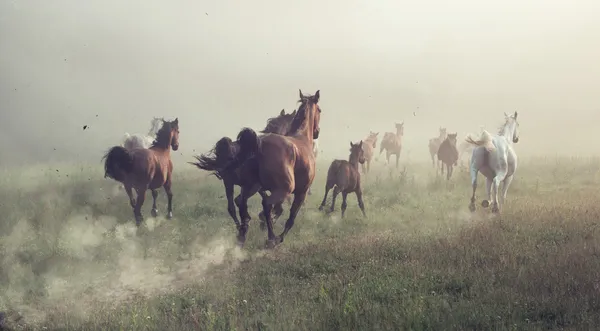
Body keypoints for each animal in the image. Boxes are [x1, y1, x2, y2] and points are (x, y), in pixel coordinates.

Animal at [233, 89, 322, 250]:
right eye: (320, 110)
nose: (317, 131)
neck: (302, 139)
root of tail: (259, 144)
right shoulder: (301, 192)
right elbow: (291, 217)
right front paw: (279, 237)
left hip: (252, 187)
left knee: (241, 201)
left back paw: (242, 235)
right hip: (283, 189)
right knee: (267, 204)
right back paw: (271, 238)